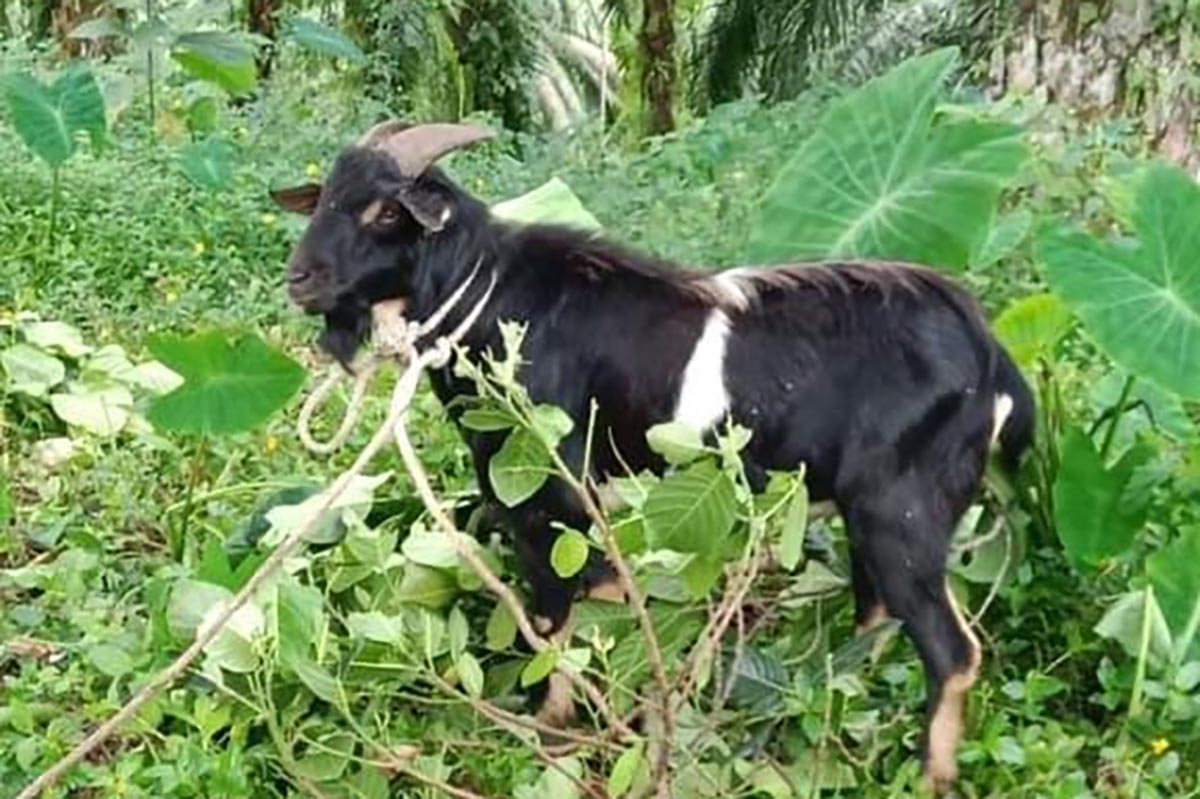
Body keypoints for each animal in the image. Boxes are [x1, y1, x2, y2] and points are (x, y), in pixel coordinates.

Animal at [270, 119, 1032, 791]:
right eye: (326, 195)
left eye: (383, 211)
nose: (300, 278)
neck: (491, 298)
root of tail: (991, 357)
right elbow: (599, 609)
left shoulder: (551, 496)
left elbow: (556, 623)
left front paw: (556, 740)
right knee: (876, 618)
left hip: (902, 512)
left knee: (952, 650)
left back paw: (928, 775)